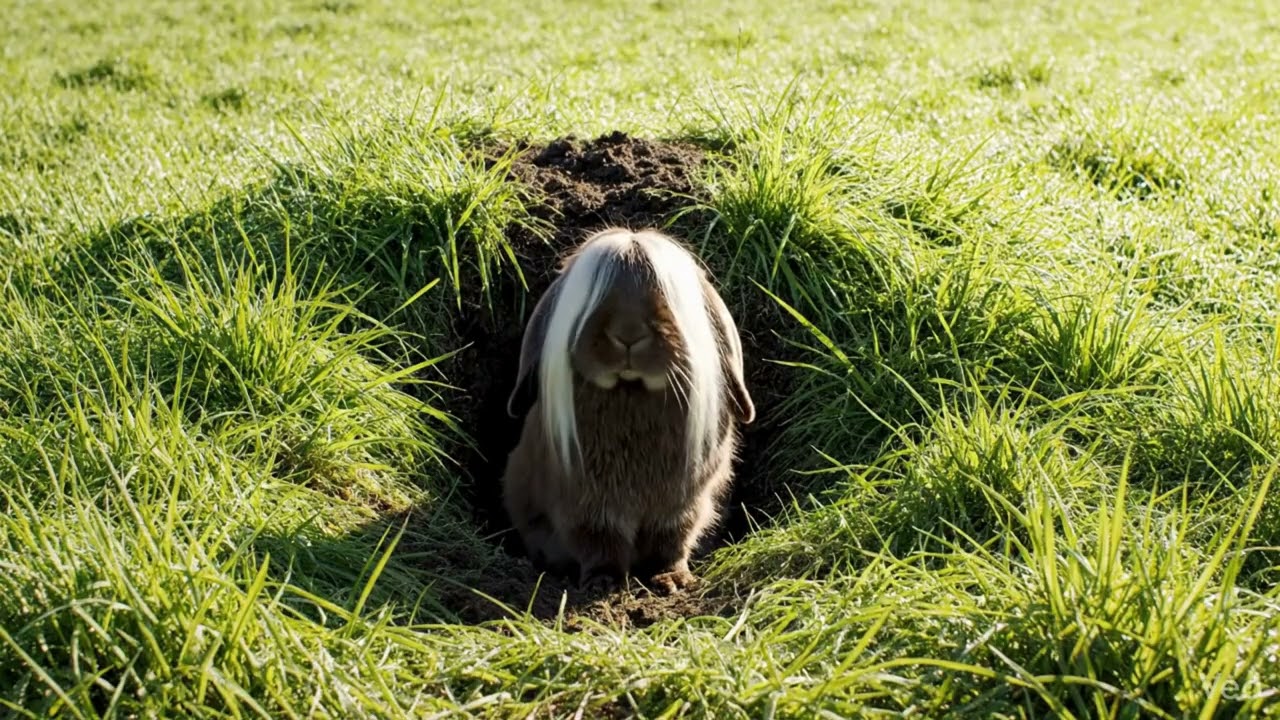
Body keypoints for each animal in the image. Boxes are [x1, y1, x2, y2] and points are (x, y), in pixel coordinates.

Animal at [500, 227, 755, 594]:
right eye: (595, 293)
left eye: (665, 293)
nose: (628, 334)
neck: (631, 390)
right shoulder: (585, 507)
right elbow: (598, 544)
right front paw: (603, 583)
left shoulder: (683, 505)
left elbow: (672, 543)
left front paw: (673, 580)